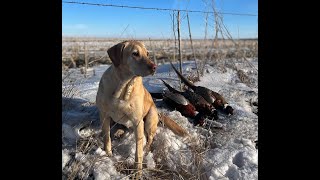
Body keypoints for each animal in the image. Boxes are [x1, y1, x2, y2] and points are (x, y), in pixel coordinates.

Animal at [96, 40, 189, 176]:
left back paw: (145, 148)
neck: (123, 88)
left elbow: (138, 150)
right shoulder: (104, 115)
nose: (155, 67)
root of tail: (158, 112)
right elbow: (107, 138)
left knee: (149, 139)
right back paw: (119, 131)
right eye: (135, 53)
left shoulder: (137, 121)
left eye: (147, 53)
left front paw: (137, 171)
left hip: (149, 119)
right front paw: (108, 155)